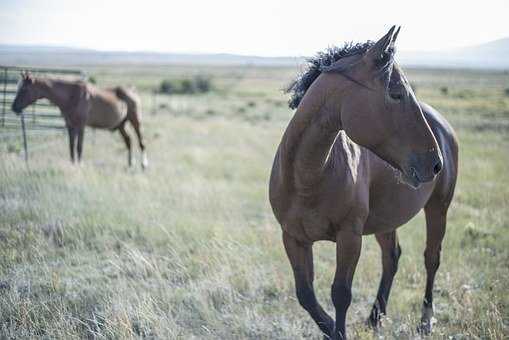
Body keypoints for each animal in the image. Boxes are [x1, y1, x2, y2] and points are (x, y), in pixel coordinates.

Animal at [11, 72, 147, 168]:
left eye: (24, 89)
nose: (14, 107)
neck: (72, 95)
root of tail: (133, 91)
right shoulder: (70, 125)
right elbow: (71, 146)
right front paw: (73, 164)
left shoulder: (81, 126)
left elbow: (79, 147)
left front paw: (80, 165)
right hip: (121, 125)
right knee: (128, 141)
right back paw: (130, 164)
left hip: (135, 121)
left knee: (141, 142)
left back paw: (143, 165)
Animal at [268, 27, 458, 340]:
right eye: (396, 93)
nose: (435, 163)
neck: (307, 178)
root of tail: (444, 127)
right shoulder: (293, 237)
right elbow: (306, 295)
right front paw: (331, 329)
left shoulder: (350, 237)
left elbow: (340, 293)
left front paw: (338, 332)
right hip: (386, 219)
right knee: (391, 257)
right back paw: (374, 318)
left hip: (438, 208)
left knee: (431, 258)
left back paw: (425, 321)